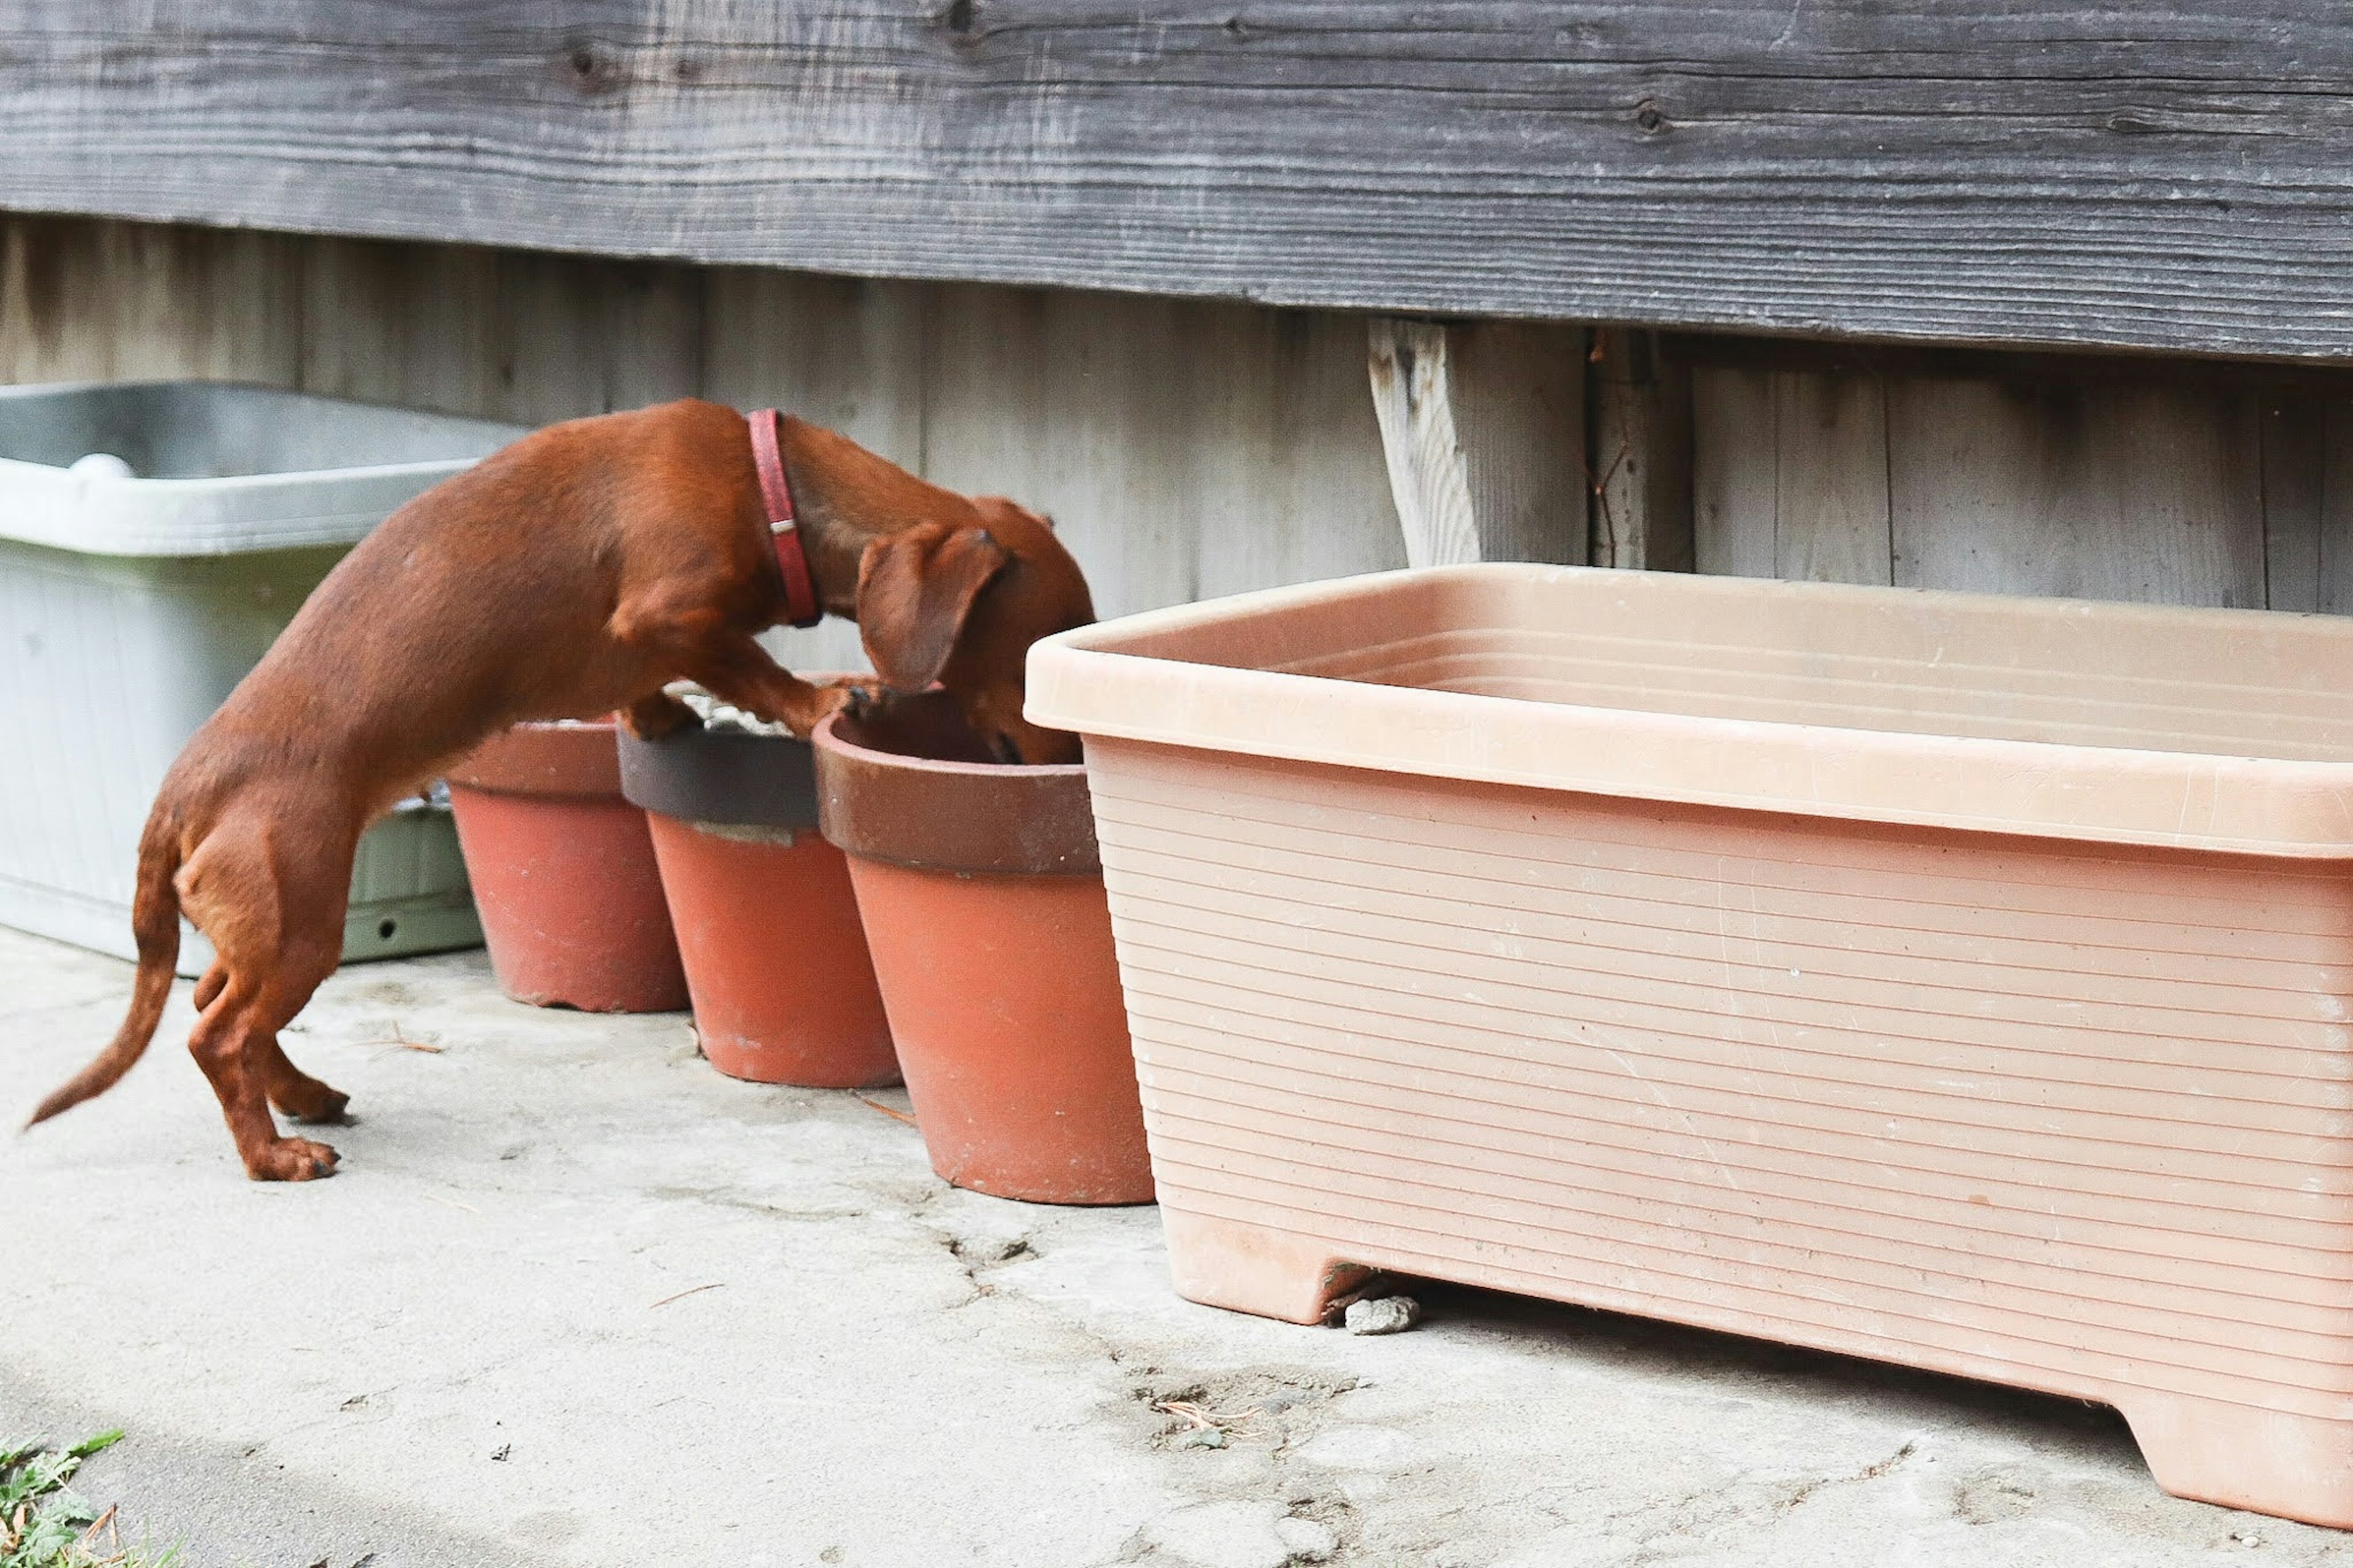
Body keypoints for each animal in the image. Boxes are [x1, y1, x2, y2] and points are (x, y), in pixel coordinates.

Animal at [28, 398, 1091, 1177]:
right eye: (1039, 653)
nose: (1077, 760)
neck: (768, 489)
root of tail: (183, 786)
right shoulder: (672, 611)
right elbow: (748, 666)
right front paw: (817, 696)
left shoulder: (650, 639)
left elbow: (659, 685)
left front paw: (661, 719)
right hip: (300, 918)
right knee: (216, 1034)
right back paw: (275, 1154)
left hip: (276, 925)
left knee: (224, 1006)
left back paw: (304, 1094)